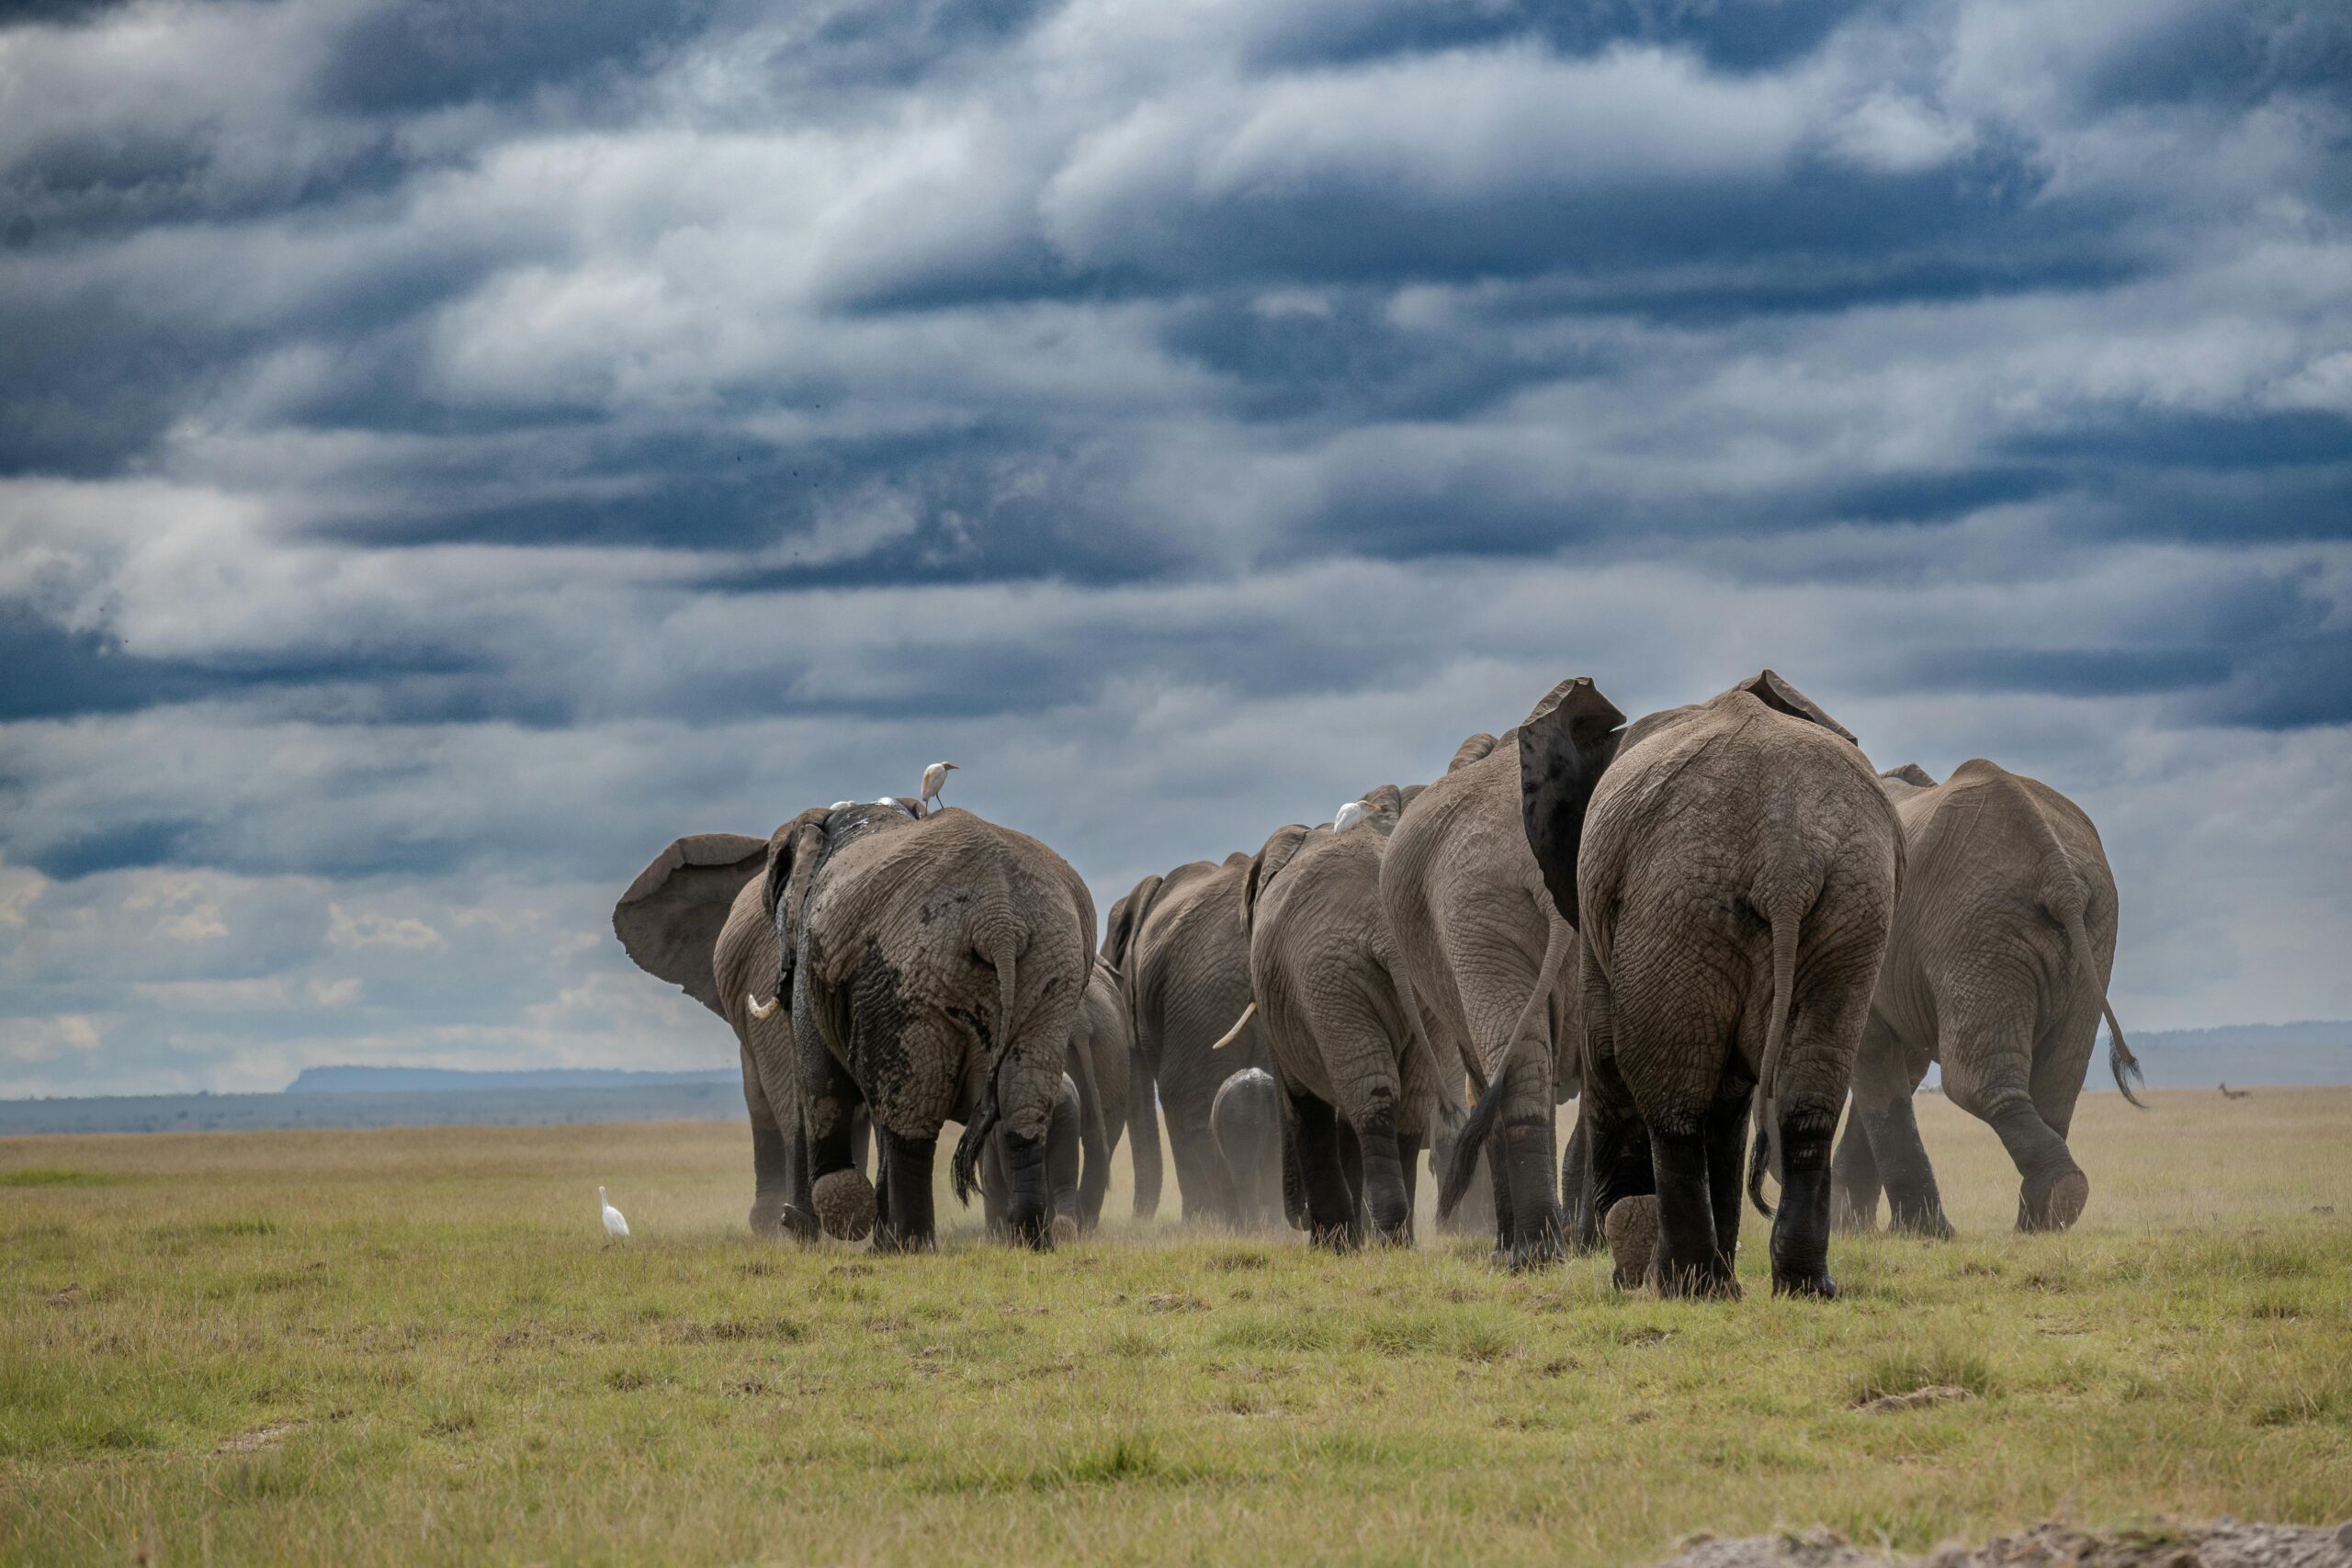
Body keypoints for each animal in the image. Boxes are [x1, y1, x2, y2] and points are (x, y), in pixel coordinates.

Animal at [757, 799, 1097, 1252]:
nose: (790, 1219)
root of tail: (999, 918)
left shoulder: (819, 959)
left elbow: (821, 1076)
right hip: (1052, 968)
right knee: (1023, 1102)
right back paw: (1029, 1242)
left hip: (912, 969)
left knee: (911, 1112)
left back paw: (910, 1246)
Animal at [1221, 786, 1450, 1248]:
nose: (1300, 1219)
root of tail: (1386, 929)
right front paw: (1348, 1240)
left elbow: (1303, 1101)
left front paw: (1333, 1245)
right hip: (1404, 983)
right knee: (1407, 1103)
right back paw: (1398, 1240)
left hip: (1329, 978)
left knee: (1369, 1095)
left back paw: (1381, 1235)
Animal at [1490, 671, 1903, 1298]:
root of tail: (1787, 861)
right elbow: (1730, 1100)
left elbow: (1605, 1054)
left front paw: (1627, 1275)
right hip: (1848, 907)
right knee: (1808, 1097)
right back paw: (1801, 1287)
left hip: (1679, 902)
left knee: (1672, 1101)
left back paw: (1683, 1285)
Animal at [1833, 760, 2143, 1237]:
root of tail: (2059, 873)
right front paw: (1855, 1230)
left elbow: (1875, 1058)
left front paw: (1912, 1236)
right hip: (2088, 933)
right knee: (2057, 1085)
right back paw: (2045, 1217)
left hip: (1975, 931)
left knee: (1974, 1081)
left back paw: (2048, 1206)